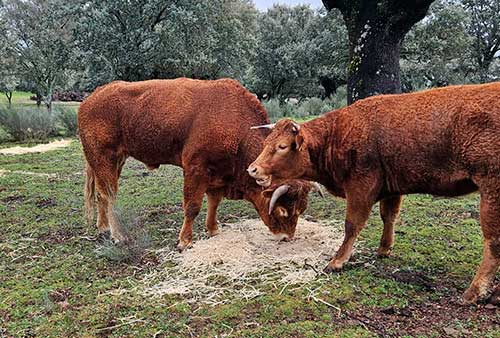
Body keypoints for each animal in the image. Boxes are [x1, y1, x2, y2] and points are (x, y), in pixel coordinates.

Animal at [77, 78, 316, 250]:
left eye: (300, 209)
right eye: (283, 210)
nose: (287, 237)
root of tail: (90, 99)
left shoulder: (217, 174)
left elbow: (213, 202)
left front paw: (213, 230)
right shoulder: (195, 169)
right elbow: (192, 206)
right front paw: (184, 241)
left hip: (114, 161)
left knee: (101, 195)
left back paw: (103, 228)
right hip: (104, 159)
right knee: (108, 195)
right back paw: (118, 236)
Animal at [249, 82, 500, 304]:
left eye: (282, 146)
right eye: (267, 142)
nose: (252, 168)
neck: (337, 134)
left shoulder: (360, 187)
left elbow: (352, 225)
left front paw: (337, 261)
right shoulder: (392, 187)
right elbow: (388, 216)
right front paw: (383, 249)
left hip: (491, 190)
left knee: (493, 241)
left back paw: (473, 292)